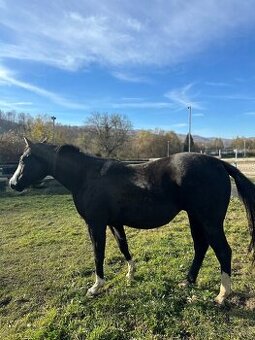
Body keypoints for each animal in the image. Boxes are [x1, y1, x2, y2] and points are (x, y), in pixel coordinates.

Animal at [8, 138, 254, 302]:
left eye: (25, 158)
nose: (12, 183)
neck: (88, 176)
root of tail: (218, 163)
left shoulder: (95, 224)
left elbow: (98, 254)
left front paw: (96, 287)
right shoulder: (114, 222)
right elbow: (123, 246)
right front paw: (130, 274)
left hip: (209, 221)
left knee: (223, 251)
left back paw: (223, 294)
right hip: (196, 218)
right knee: (201, 247)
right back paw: (188, 281)